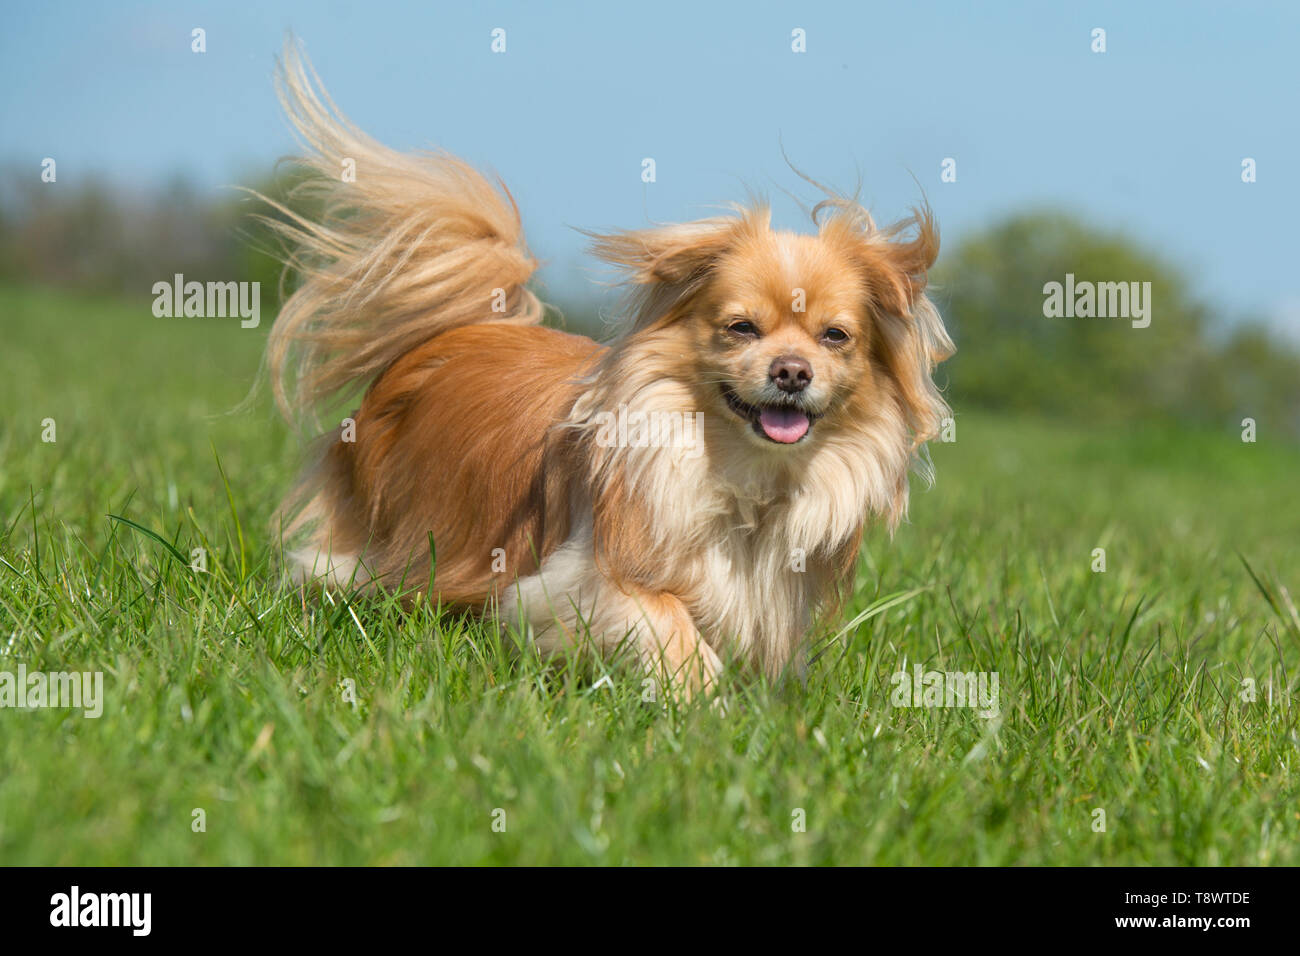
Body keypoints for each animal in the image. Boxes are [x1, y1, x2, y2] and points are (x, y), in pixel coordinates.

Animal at [263, 41, 956, 697]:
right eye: (741, 329)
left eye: (835, 337)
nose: (792, 372)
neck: (747, 478)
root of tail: (465, 327)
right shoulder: (586, 576)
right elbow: (666, 615)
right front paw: (703, 698)